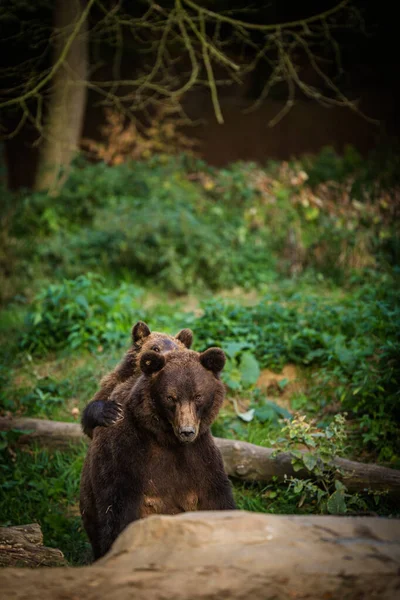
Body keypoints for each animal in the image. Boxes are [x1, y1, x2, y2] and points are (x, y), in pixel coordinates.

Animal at [80, 346, 236, 556]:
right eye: (171, 397)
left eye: (198, 396)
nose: (187, 431)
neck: (166, 439)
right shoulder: (124, 454)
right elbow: (118, 510)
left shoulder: (200, 457)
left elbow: (216, 500)